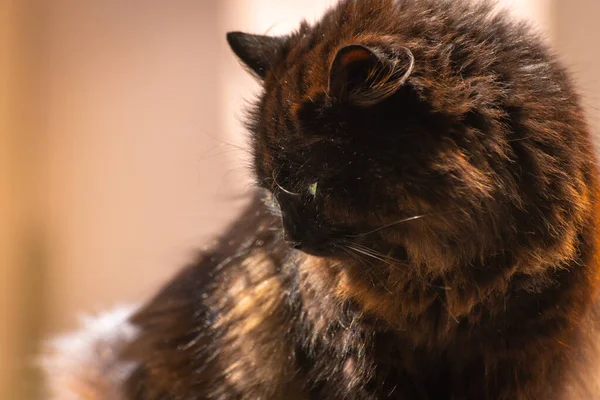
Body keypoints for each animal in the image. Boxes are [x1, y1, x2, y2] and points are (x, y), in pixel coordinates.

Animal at [41, 0, 600, 398]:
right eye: (269, 192)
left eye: (311, 185)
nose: (291, 238)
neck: (447, 285)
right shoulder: (358, 364)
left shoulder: (525, 358)